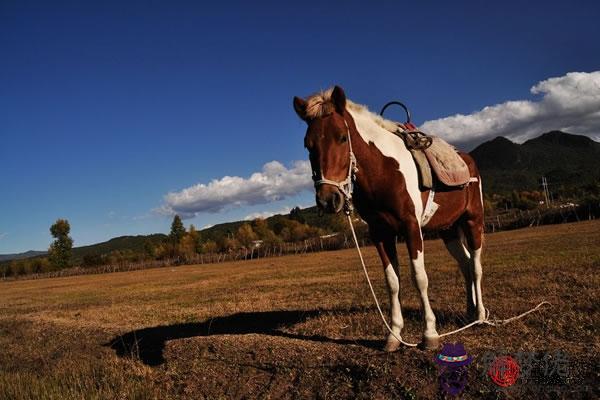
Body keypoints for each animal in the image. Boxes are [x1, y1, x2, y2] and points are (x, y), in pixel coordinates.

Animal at [292, 86, 486, 350]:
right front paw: (394, 335)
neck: (383, 170)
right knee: (465, 265)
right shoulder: (381, 233)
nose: (328, 199)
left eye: (342, 137)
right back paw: (469, 313)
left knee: (475, 266)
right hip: (449, 230)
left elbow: (419, 278)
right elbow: (392, 281)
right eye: (307, 145)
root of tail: (467, 159)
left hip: (473, 221)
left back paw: (481, 316)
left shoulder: (411, 227)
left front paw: (430, 334)